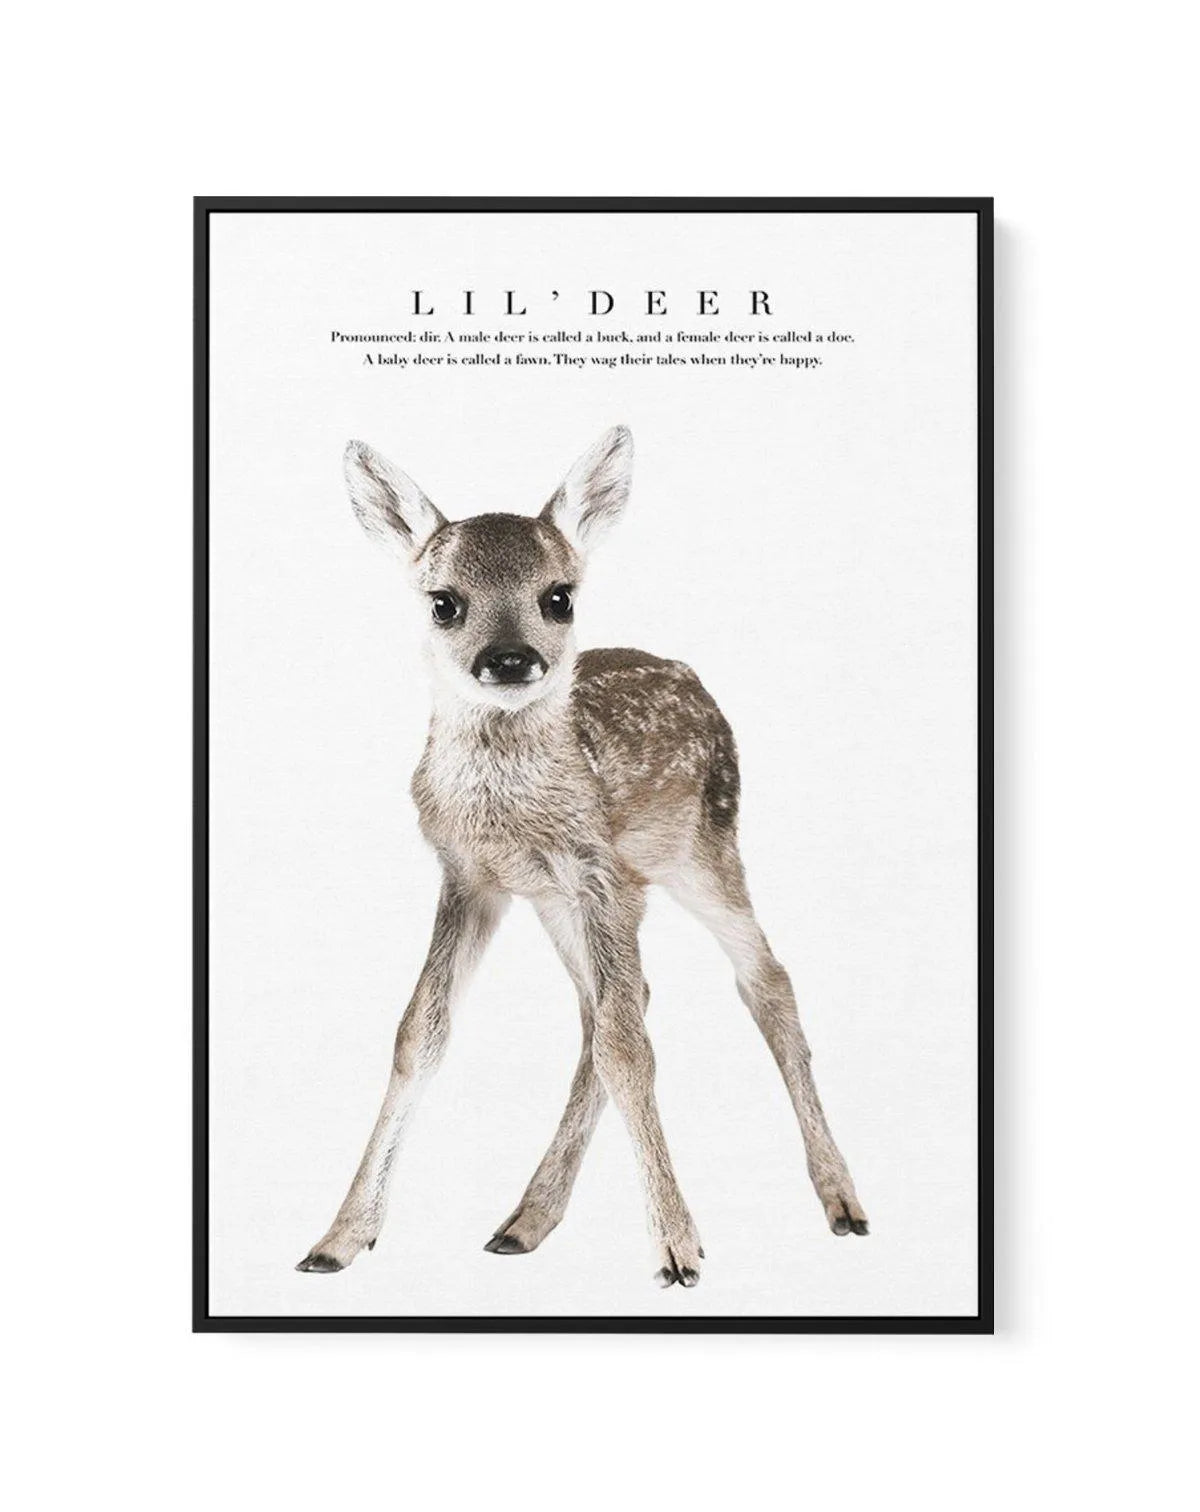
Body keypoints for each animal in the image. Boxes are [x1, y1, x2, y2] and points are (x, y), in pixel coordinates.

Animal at [296, 426, 867, 1288]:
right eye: (444, 602)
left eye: (558, 596)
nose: (509, 659)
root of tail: (692, 676)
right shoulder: (473, 877)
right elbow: (420, 1032)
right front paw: (339, 1237)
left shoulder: (598, 870)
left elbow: (628, 1048)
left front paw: (677, 1250)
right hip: (573, 900)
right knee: (614, 1007)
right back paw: (525, 1220)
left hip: (703, 849)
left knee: (762, 980)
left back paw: (842, 1201)